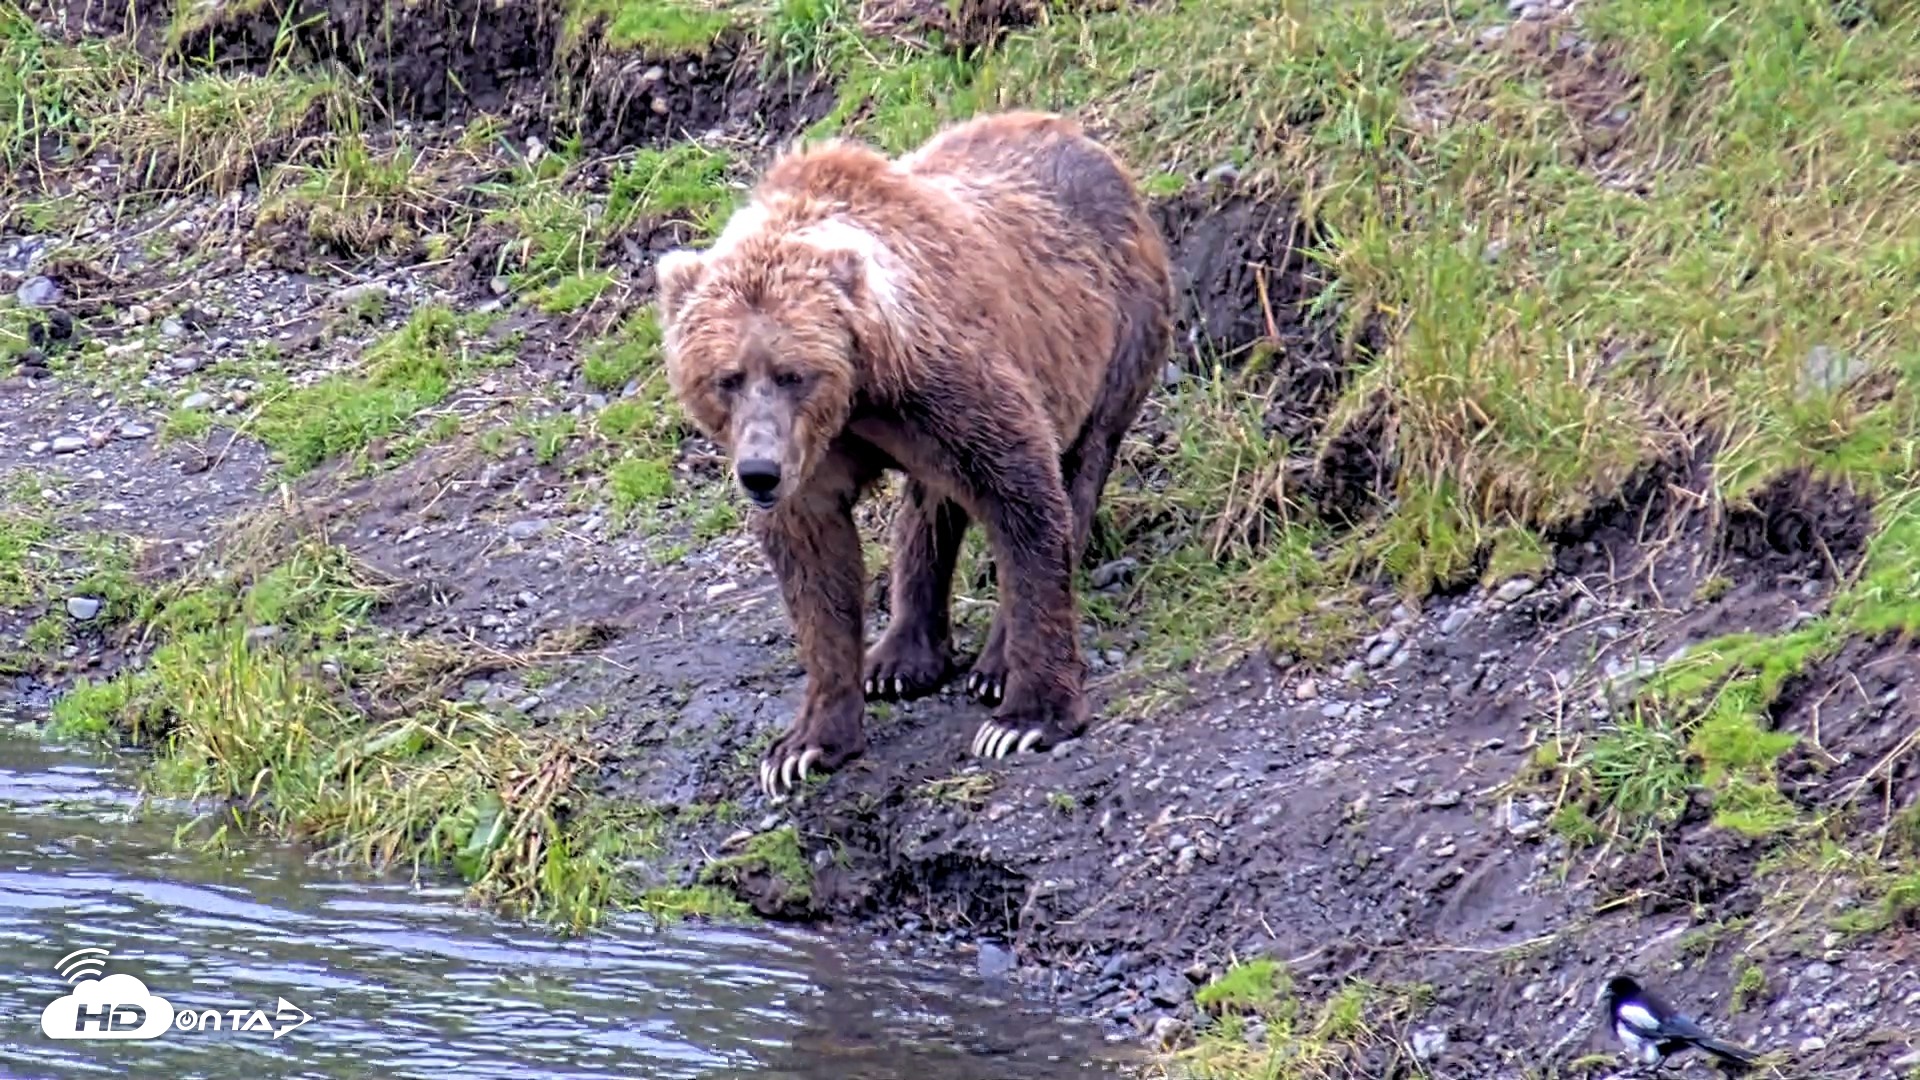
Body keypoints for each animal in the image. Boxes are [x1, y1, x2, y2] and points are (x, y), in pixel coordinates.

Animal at [654, 110, 1174, 801]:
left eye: (793, 374)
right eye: (727, 378)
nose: (759, 472)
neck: (860, 388)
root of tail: (1091, 144)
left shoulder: (942, 382)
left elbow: (1022, 493)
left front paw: (1027, 719)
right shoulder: (822, 453)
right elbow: (815, 566)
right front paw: (804, 745)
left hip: (1114, 338)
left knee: (1075, 476)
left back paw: (991, 665)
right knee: (930, 507)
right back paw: (899, 658)